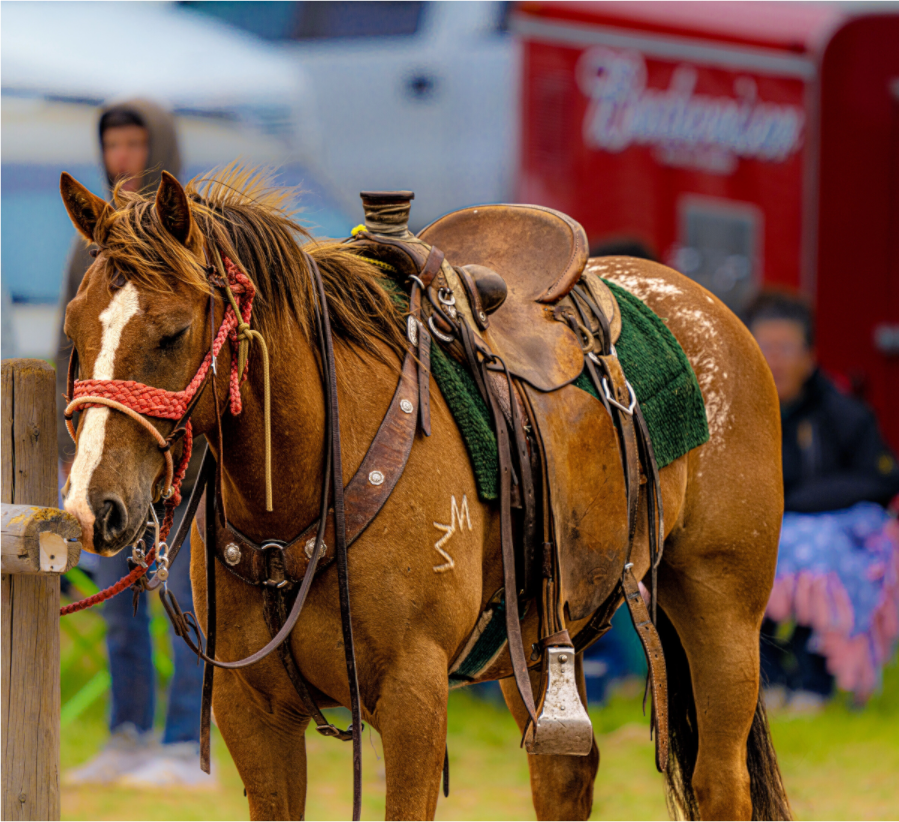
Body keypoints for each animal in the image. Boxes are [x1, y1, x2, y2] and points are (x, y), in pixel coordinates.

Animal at [59, 165, 791, 822]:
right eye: (74, 329)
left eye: (174, 333)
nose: (95, 507)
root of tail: (702, 305)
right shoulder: (252, 712)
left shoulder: (413, 699)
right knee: (564, 778)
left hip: (722, 614)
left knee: (718, 784)